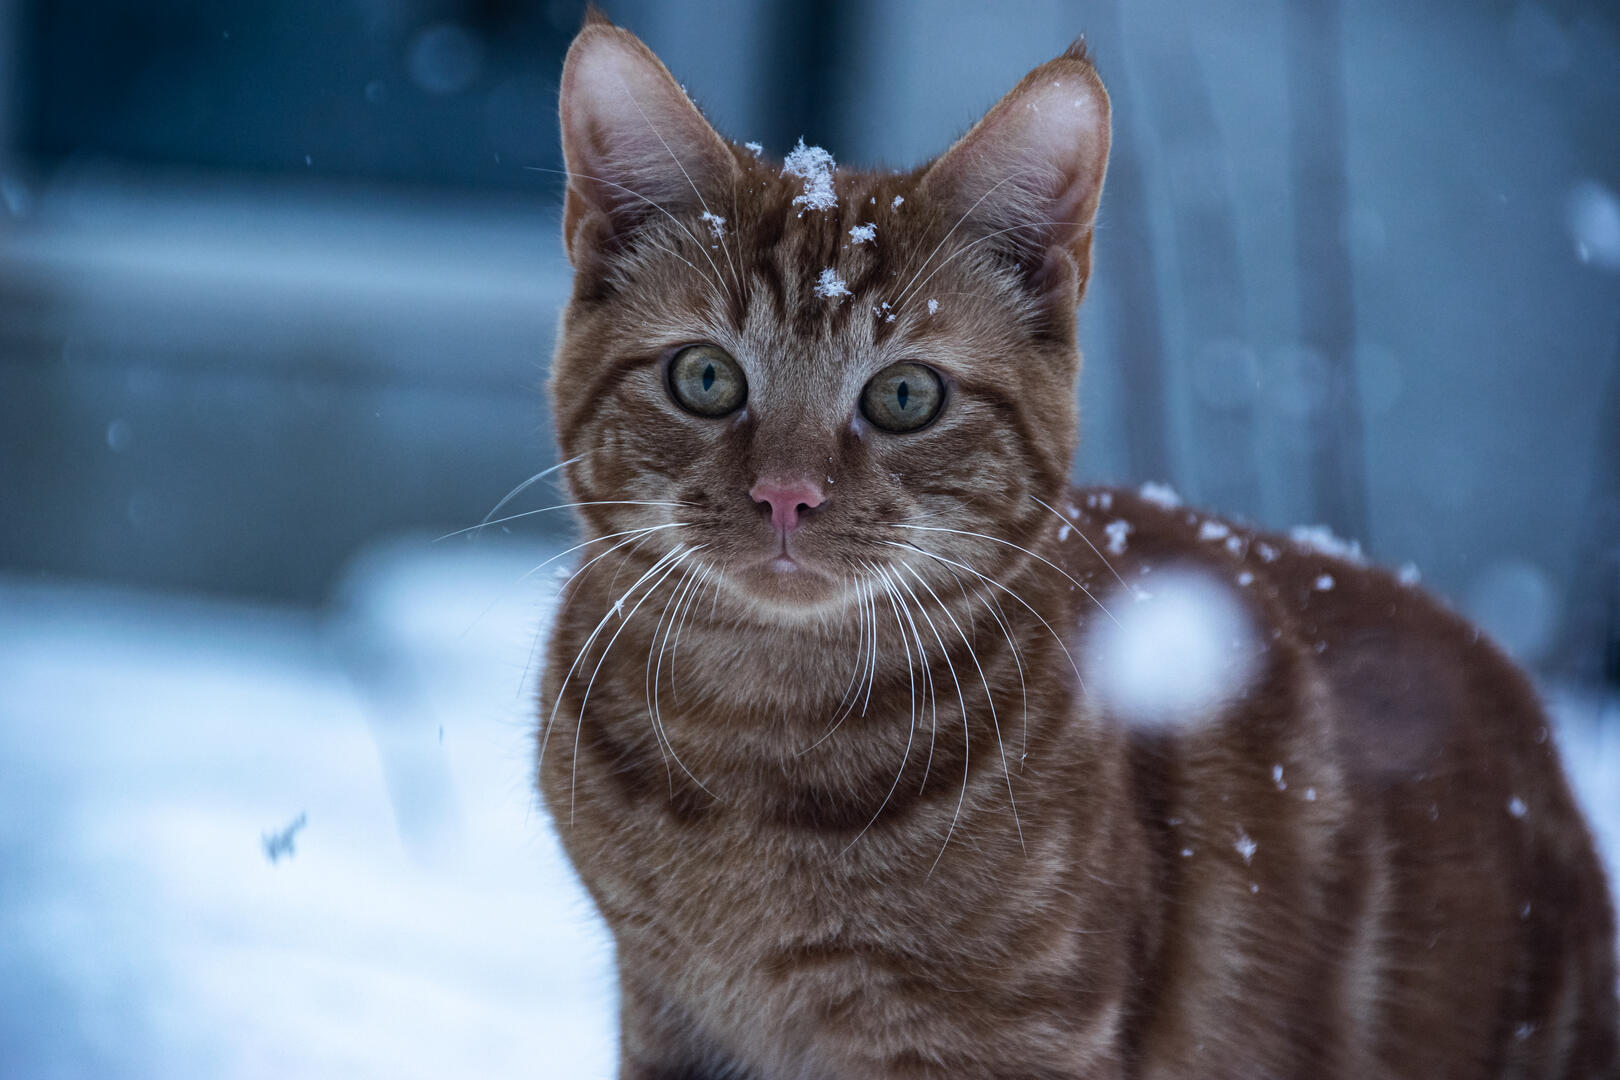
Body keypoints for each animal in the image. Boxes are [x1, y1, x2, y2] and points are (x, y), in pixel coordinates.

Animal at [537, 10, 1613, 1080]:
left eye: (905, 395)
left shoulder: (1015, 1037)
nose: (787, 495)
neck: (754, 745)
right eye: (706, 378)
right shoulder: (670, 1018)